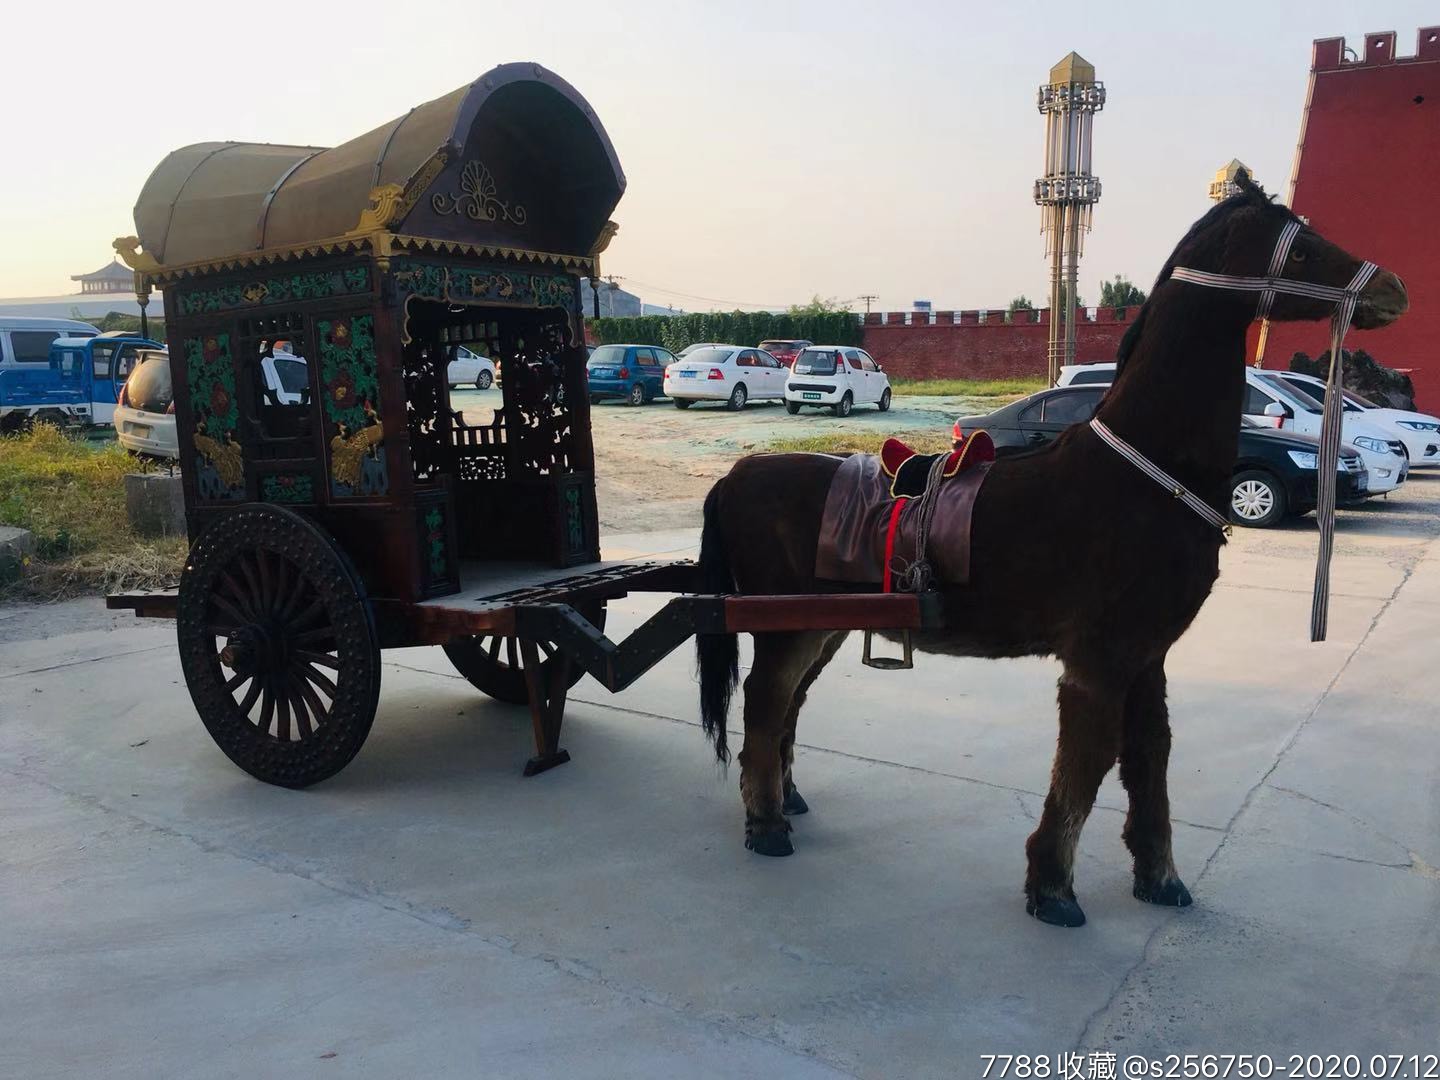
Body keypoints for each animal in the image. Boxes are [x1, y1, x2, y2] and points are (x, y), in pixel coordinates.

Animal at [696, 180, 1405, 933]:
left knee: (784, 707)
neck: (1142, 470)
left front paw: (1159, 875)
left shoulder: (1147, 655)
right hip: (789, 627)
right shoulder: (1099, 658)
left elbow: (1149, 760)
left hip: (819, 625)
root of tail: (736, 475)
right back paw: (767, 824)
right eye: (1299, 246)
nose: (1392, 288)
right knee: (765, 704)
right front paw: (1053, 886)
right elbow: (1087, 765)